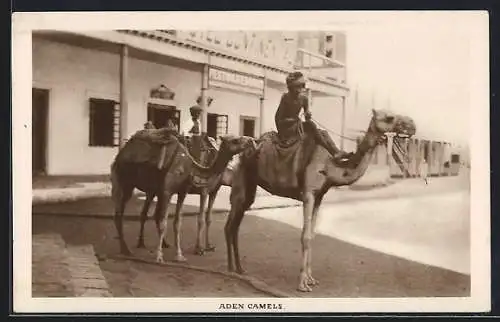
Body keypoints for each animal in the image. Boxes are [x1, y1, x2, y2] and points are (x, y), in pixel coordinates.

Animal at [111, 130, 256, 262]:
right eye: (235, 140)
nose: (252, 141)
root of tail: (121, 153)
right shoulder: (171, 191)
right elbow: (174, 222)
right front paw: (160, 256)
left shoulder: (183, 192)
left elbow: (178, 223)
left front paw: (180, 255)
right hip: (125, 181)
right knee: (122, 214)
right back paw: (129, 249)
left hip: (152, 189)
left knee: (146, 214)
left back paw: (155, 244)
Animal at [225, 108, 416, 292]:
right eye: (389, 117)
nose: (412, 125)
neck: (330, 166)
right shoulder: (308, 193)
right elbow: (305, 236)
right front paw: (302, 284)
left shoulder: (319, 197)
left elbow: (313, 234)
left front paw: (311, 279)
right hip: (241, 178)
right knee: (230, 224)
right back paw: (230, 269)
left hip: (250, 185)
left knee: (236, 224)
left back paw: (238, 268)